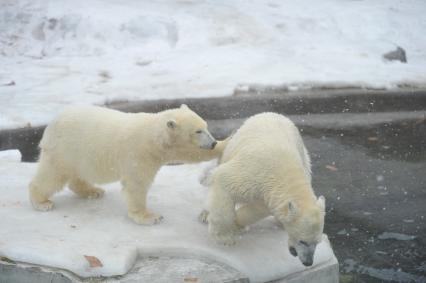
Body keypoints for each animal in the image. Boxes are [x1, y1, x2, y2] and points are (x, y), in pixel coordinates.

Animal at [28, 105, 226, 225]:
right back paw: (42, 202)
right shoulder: (139, 153)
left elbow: (189, 153)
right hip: (65, 150)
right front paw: (150, 216)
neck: (152, 137)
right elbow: (137, 184)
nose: (213, 142)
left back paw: (93, 191)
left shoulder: (164, 150)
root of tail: (51, 124)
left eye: (206, 126)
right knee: (52, 175)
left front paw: (224, 144)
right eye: (198, 131)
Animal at [200, 112, 326, 266]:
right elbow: (224, 180)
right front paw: (225, 238)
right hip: (233, 146)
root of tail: (273, 114)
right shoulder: (254, 172)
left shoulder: (270, 193)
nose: (308, 262)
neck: (285, 170)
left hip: (303, 154)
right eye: (303, 241)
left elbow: (258, 209)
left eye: (317, 242)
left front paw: (238, 224)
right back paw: (205, 214)